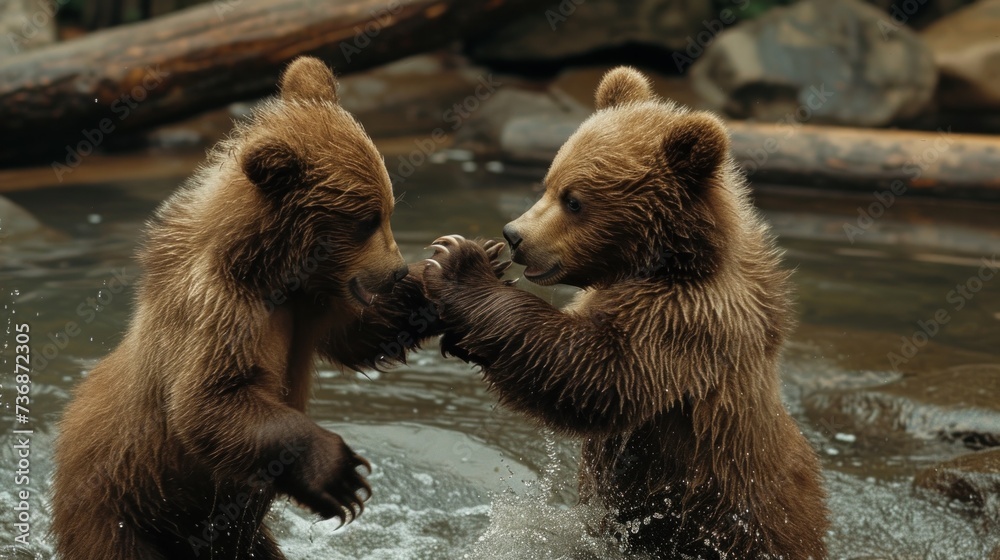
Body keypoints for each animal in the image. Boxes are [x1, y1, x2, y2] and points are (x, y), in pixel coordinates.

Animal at [50, 57, 472, 560]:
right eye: (365, 221)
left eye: (388, 208)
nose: (394, 272)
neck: (270, 272)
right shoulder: (218, 309)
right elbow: (208, 401)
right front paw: (341, 475)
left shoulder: (312, 305)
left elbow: (361, 336)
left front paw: (445, 279)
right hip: (121, 507)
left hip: (235, 536)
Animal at [420, 67, 829, 559]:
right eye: (549, 181)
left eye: (574, 200)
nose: (514, 236)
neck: (673, 261)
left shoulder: (686, 323)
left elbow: (598, 372)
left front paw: (458, 263)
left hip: (744, 524)